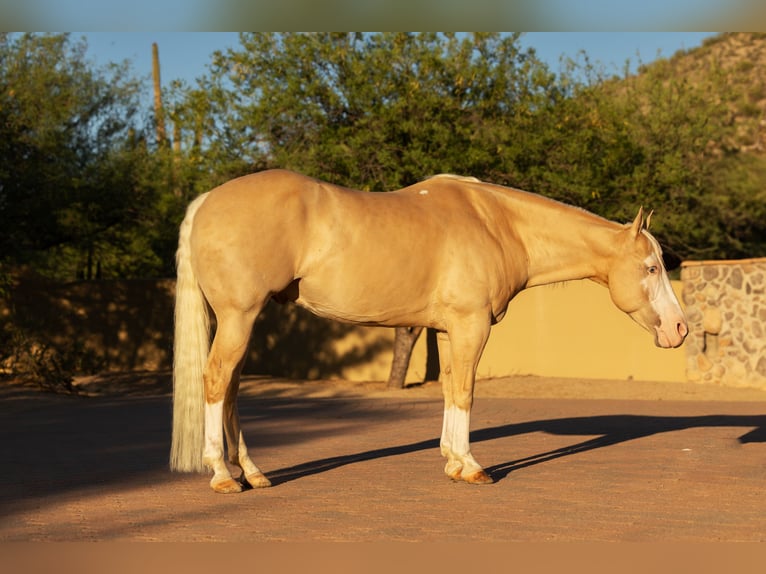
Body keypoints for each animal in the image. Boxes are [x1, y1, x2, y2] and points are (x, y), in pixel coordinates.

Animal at [170, 169, 688, 493]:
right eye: (651, 267)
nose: (679, 328)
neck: (497, 223)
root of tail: (207, 200)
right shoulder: (471, 326)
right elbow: (465, 391)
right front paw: (472, 467)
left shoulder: (445, 330)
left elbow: (447, 388)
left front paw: (452, 461)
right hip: (239, 316)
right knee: (216, 381)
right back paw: (222, 476)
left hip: (240, 320)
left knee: (231, 390)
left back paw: (252, 473)